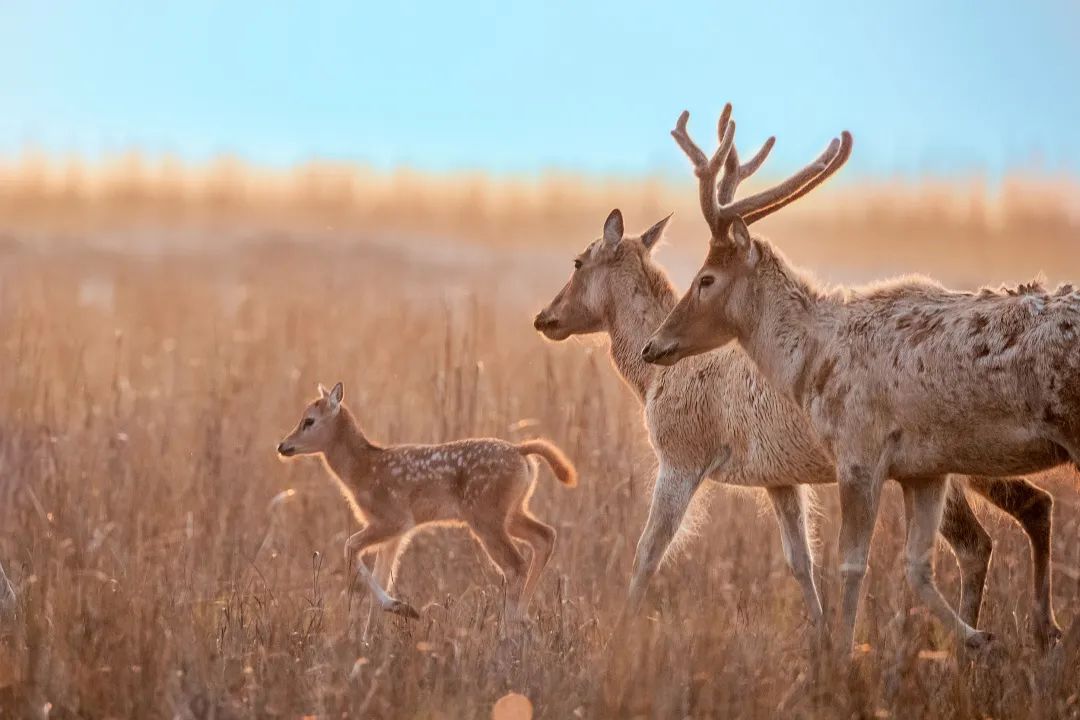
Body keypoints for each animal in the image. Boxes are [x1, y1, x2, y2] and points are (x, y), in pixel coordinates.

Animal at [278, 386, 578, 626]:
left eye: (309, 421)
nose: (283, 446)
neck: (361, 470)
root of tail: (520, 451)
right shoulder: (397, 533)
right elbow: (382, 575)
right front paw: (374, 634)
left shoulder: (393, 519)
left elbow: (350, 546)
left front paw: (401, 607)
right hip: (512, 511)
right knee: (545, 536)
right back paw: (524, 619)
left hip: (486, 516)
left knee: (515, 565)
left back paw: (509, 631)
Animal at [535, 204, 1058, 647]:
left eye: (579, 262)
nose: (545, 317)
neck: (653, 376)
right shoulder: (779, 479)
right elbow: (800, 560)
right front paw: (823, 638)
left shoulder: (682, 458)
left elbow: (649, 549)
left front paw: (618, 638)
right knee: (1028, 508)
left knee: (980, 539)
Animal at [639, 102, 1071, 651]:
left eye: (706, 279)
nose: (654, 345)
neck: (813, 360)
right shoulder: (922, 467)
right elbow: (915, 566)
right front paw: (976, 640)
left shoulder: (859, 451)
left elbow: (850, 564)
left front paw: (842, 655)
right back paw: (1037, 630)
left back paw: (1044, 626)